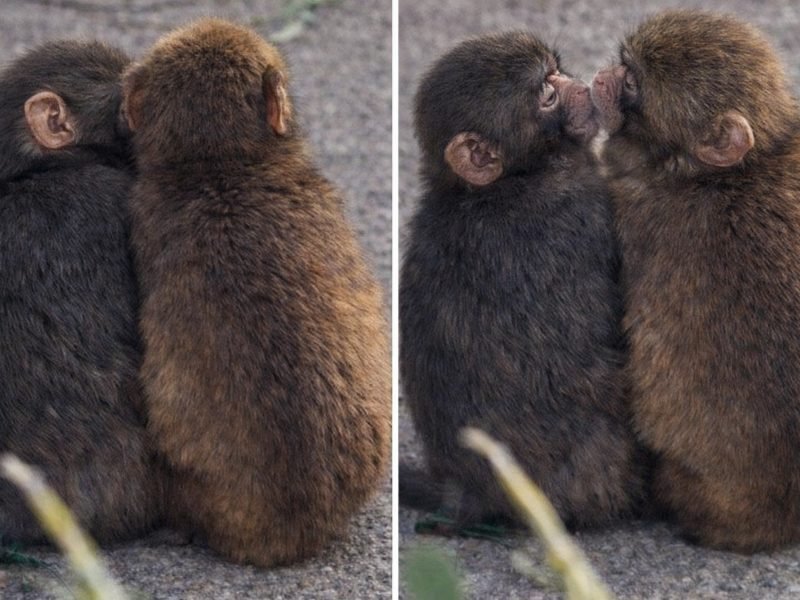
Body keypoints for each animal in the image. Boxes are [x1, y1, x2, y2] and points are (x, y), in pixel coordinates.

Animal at [400, 31, 643, 530]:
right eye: (547, 94)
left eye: (556, 71)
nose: (582, 87)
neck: (504, 182)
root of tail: (468, 492)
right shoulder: (580, 204)